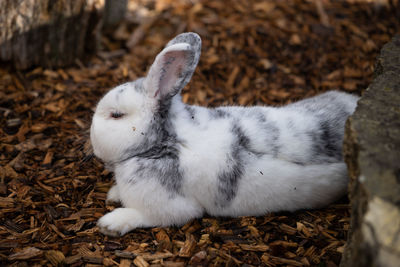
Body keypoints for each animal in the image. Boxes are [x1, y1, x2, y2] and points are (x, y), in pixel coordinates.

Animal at [90, 31, 360, 237]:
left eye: (116, 115)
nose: (91, 138)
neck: (167, 140)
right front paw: (114, 194)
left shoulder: (171, 207)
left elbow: (144, 215)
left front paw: (110, 223)